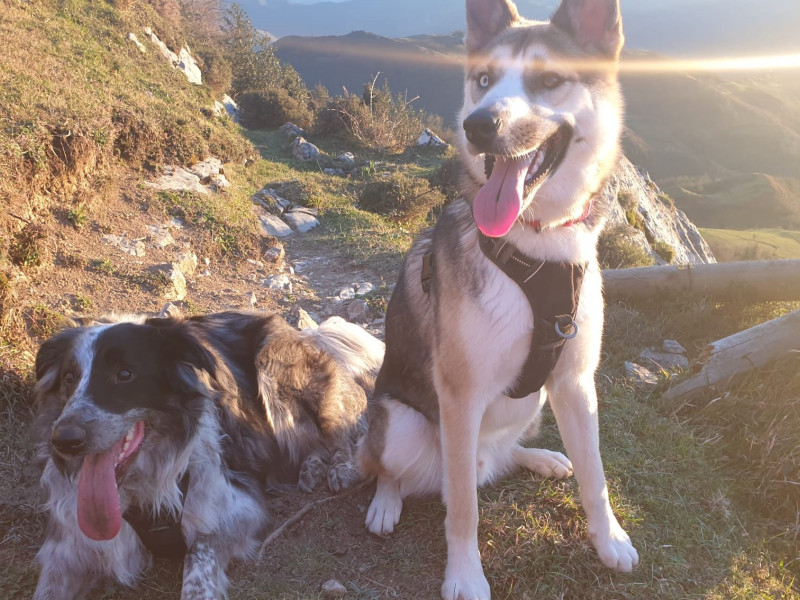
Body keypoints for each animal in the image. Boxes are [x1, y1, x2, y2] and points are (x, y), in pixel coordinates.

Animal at [33, 312, 388, 600]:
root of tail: (308, 333)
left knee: (339, 430)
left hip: (273, 367)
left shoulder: (240, 504)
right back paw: (310, 468)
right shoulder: (66, 548)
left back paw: (339, 467)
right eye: (69, 378)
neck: (136, 490)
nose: (64, 440)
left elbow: (198, 554)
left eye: (125, 374)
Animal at [360, 0, 640, 596]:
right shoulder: (460, 397)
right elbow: (463, 507)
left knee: (506, 454)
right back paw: (386, 503)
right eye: (483, 81)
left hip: (532, 407)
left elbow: (597, 475)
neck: (537, 248)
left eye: (549, 81)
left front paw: (609, 539)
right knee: (387, 468)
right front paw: (465, 575)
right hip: (401, 425)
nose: (478, 125)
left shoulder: (575, 382)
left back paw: (540, 457)